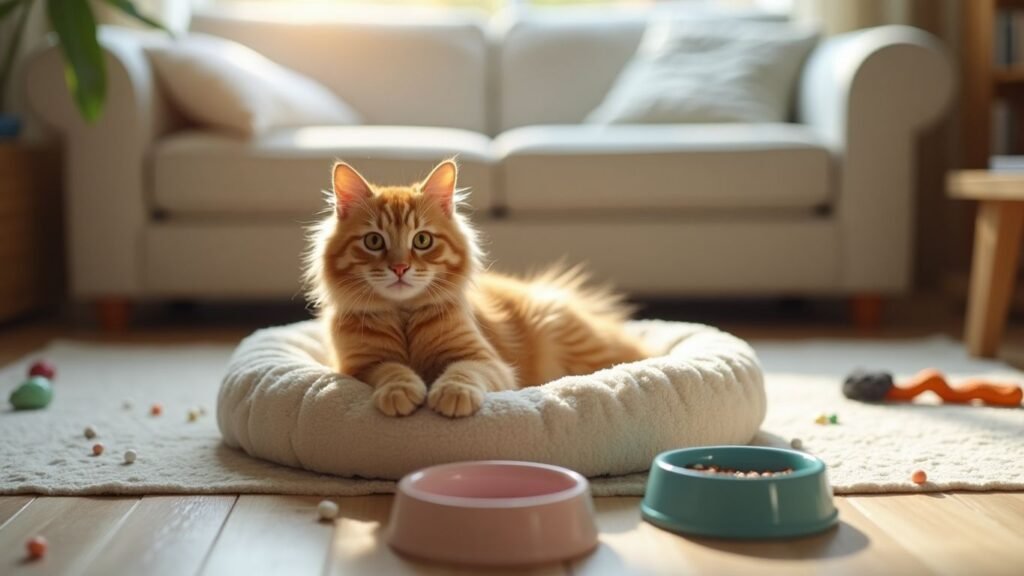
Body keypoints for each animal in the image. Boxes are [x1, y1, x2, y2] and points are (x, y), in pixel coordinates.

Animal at [305, 158, 647, 414]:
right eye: (374, 242)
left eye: (422, 240)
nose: (400, 268)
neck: (403, 316)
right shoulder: (357, 367)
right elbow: (390, 369)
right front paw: (399, 390)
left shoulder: (485, 359)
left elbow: (463, 371)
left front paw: (452, 394)